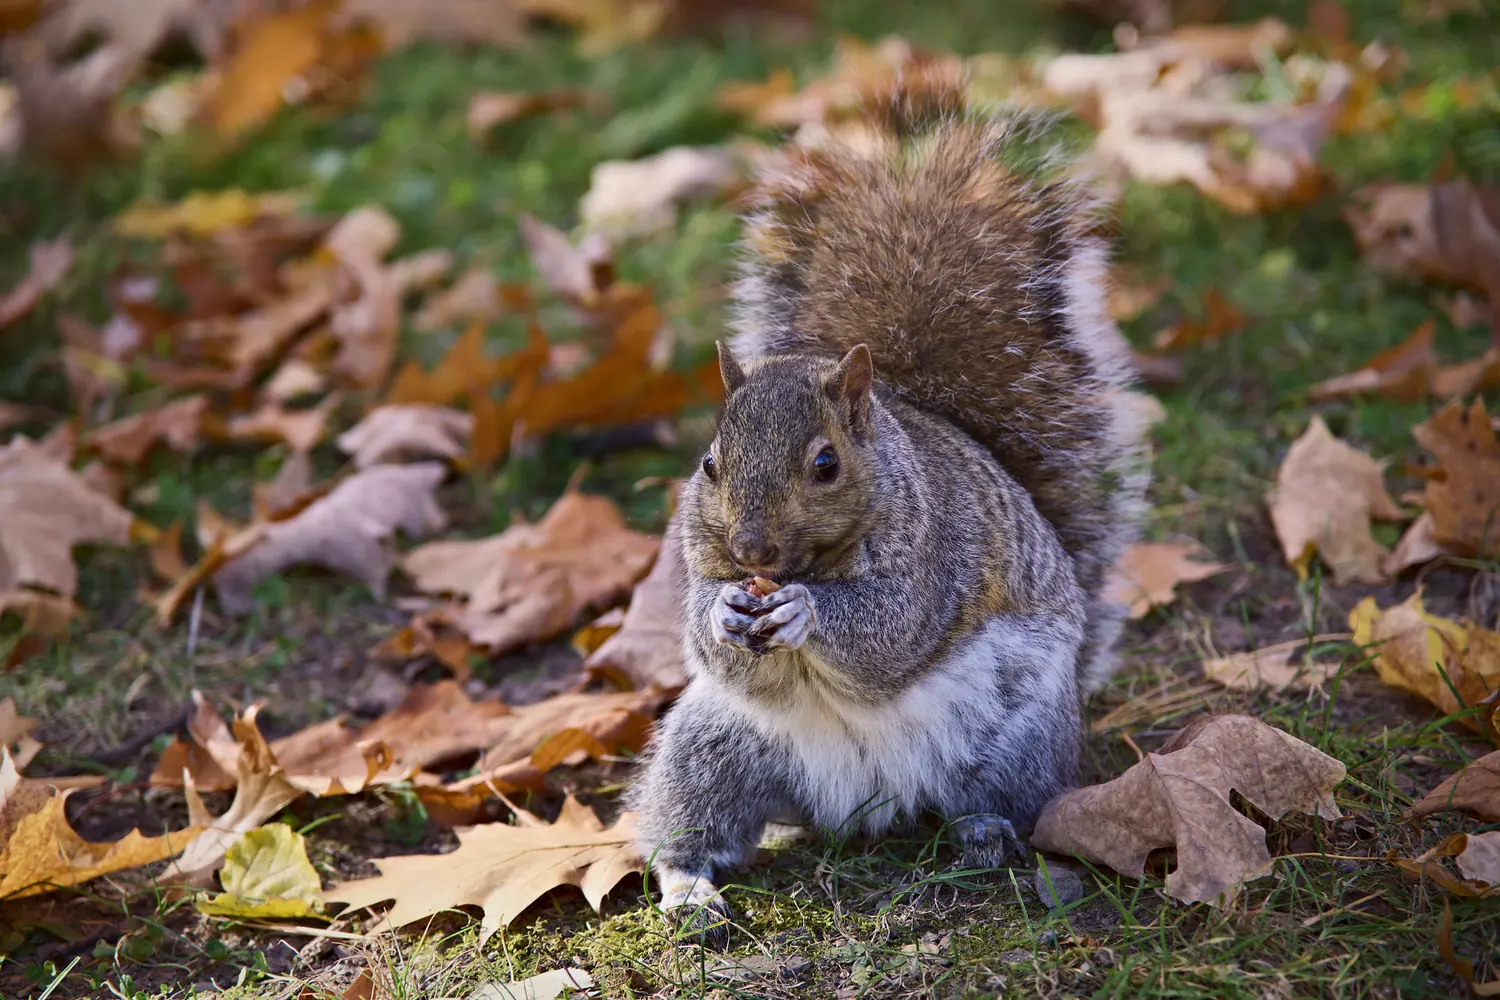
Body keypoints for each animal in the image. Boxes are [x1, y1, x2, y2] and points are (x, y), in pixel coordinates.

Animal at [628, 99, 1149, 945]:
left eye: (825, 463)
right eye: (709, 463)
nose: (752, 549)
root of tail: (859, 804)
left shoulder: (936, 558)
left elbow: (889, 633)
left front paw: (806, 611)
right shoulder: (702, 566)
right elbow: (709, 639)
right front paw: (728, 612)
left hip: (1018, 734)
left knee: (997, 800)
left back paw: (984, 833)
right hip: (711, 748)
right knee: (692, 824)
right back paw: (689, 888)